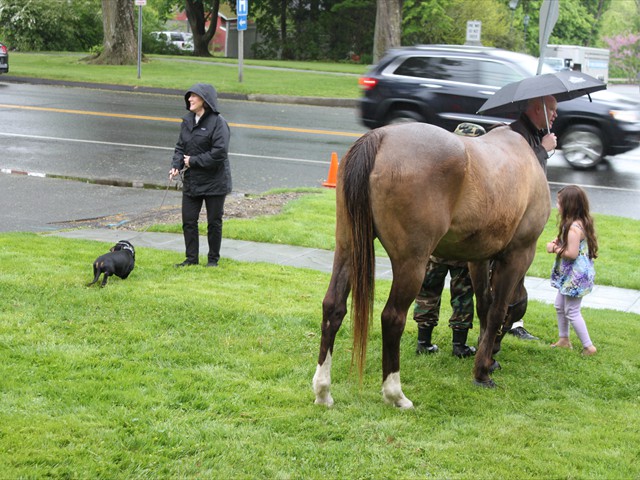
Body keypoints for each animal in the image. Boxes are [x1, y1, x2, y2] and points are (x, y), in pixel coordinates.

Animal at [312, 122, 550, 408]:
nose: (494, 354)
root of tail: (380, 136)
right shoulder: (518, 255)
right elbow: (496, 311)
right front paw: (482, 372)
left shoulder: (478, 258)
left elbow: (484, 305)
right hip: (412, 263)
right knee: (392, 317)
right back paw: (395, 394)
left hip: (348, 248)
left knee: (333, 307)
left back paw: (323, 390)